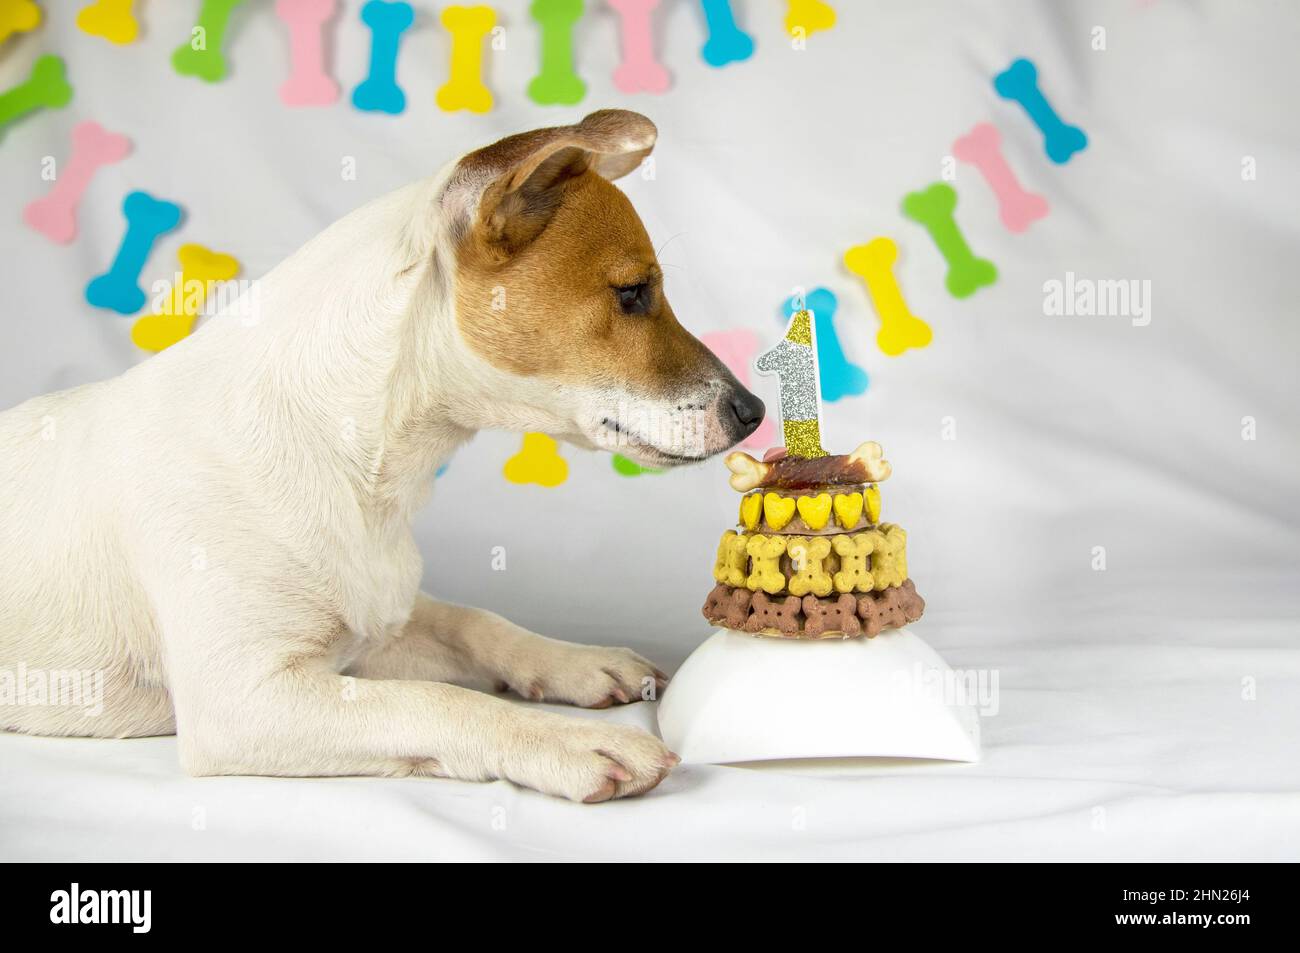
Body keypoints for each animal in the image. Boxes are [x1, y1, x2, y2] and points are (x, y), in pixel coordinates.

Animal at [0, 109, 759, 800]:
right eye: (633, 294)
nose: (753, 412)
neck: (362, 466)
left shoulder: (377, 629)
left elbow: (474, 622)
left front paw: (577, 662)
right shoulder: (245, 699)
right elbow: (440, 701)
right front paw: (565, 741)